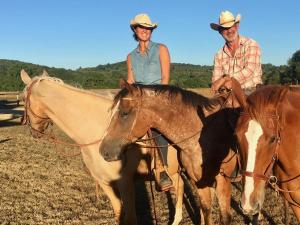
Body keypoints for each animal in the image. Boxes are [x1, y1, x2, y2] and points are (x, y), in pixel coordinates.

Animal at [19, 69, 185, 225]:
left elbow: (130, 219)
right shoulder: (104, 182)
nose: (33, 132)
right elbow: (118, 213)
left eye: (23, 99)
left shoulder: (125, 182)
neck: (99, 129)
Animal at [99, 80, 240, 224]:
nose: (104, 151)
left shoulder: (223, 180)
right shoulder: (198, 181)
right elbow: (206, 211)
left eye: (125, 113)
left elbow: (225, 217)